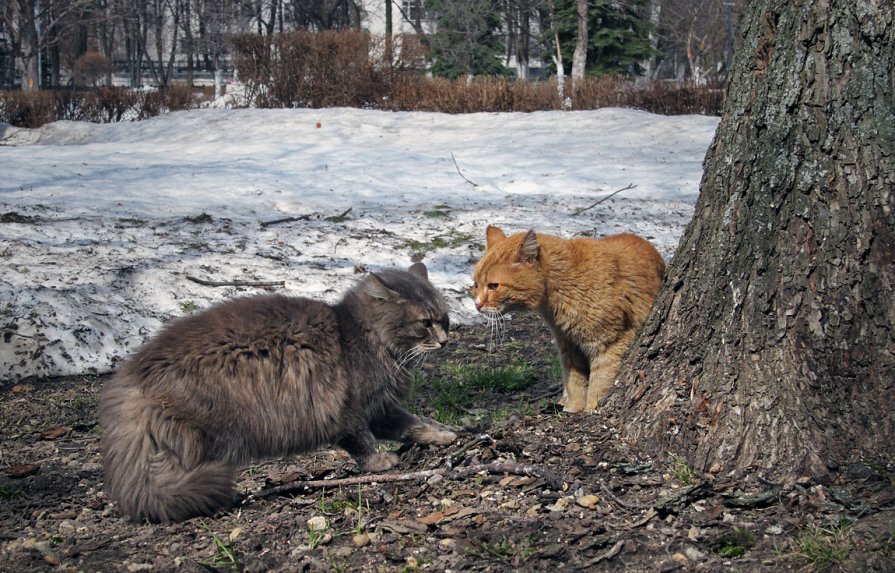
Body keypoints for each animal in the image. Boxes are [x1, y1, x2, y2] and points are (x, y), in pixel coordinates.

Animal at [100, 264, 456, 524]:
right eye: (425, 323)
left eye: (445, 319)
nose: (444, 341)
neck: (361, 337)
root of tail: (133, 373)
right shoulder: (349, 412)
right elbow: (363, 442)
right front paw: (380, 462)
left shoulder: (381, 408)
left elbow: (413, 424)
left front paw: (441, 435)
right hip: (204, 436)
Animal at [472, 225, 660, 412]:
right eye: (476, 285)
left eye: (493, 286)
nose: (477, 305)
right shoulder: (568, 345)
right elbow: (574, 382)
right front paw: (574, 407)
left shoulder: (610, 343)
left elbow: (600, 381)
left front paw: (591, 408)